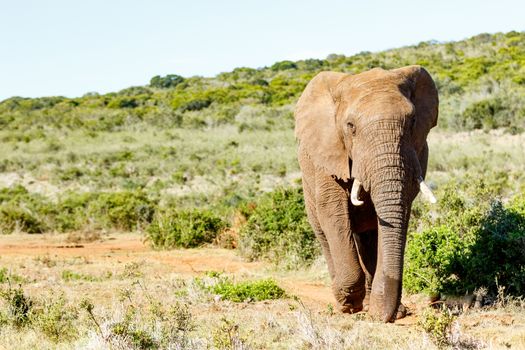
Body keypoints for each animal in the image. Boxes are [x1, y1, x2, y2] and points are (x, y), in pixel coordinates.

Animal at [294, 65, 438, 322]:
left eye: (412, 121)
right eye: (351, 126)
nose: (383, 317)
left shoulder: (418, 152)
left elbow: (399, 209)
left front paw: (387, 310)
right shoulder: (328, 154)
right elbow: (332, 210)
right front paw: (348, 303)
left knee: (368, 238)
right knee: (325, 234)